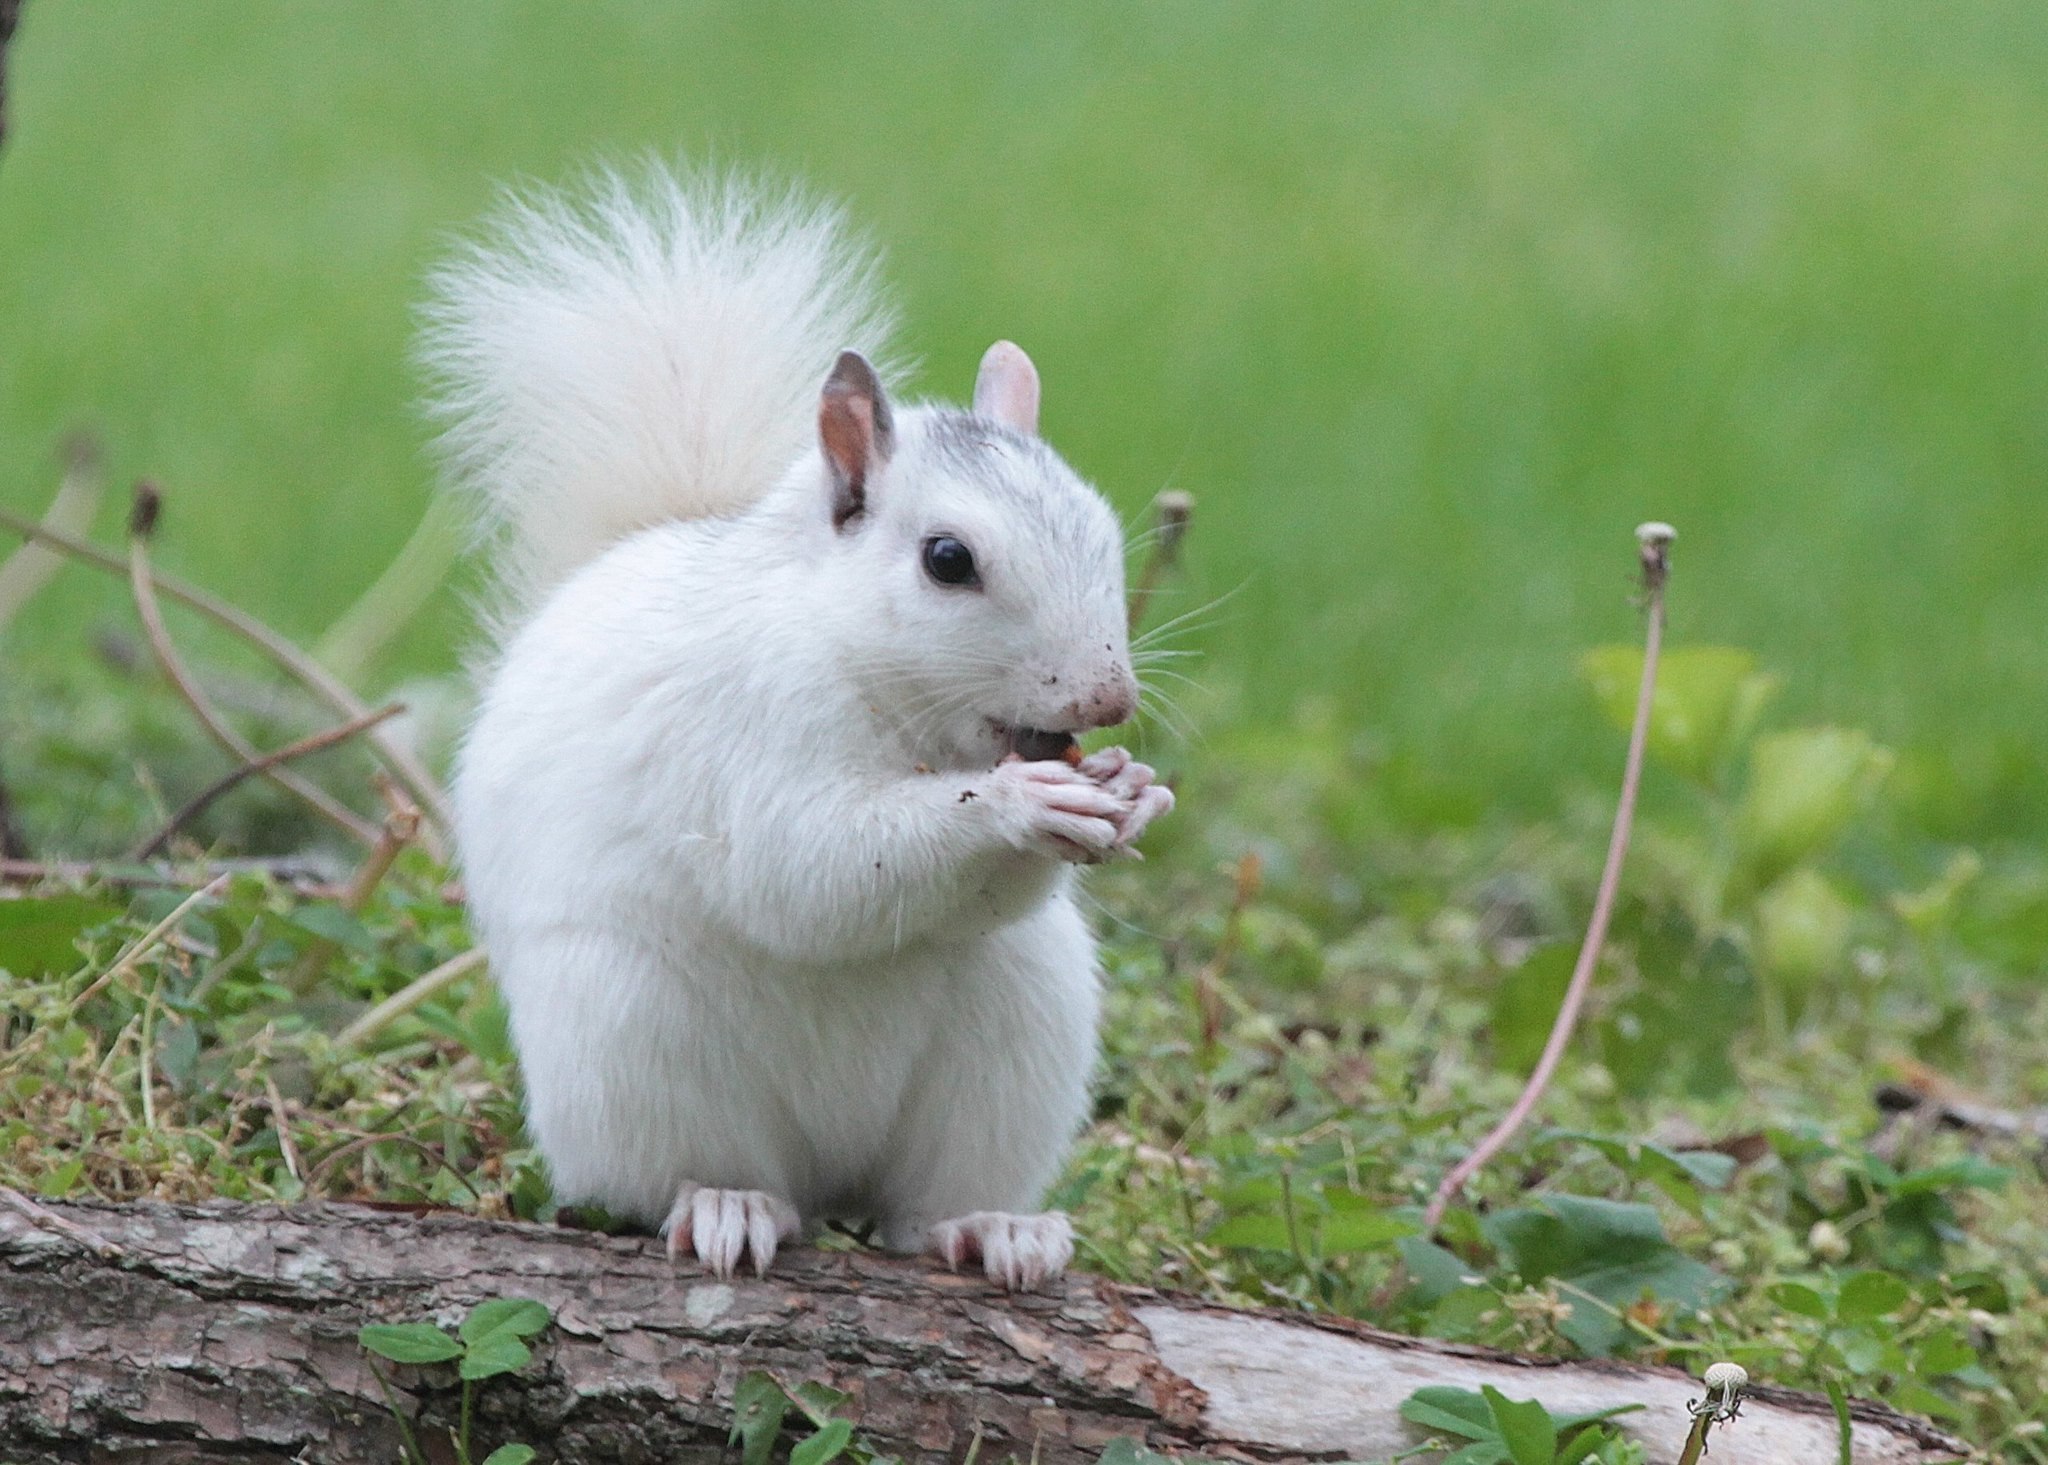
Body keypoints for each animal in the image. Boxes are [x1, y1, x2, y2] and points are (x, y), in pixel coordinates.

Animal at [423, 172, 1179, 1286]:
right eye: (947, 559)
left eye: (1104, 532)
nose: (1105, 700)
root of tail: (829, 1170)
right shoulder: (745, 734)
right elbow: (801, 868)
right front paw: (1014, 803)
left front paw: (1132, 791)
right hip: (632, 1037)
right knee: (684, 1176)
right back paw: (727, 1204)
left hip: (1016, 1032)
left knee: (922, 1203)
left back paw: (989, 1227)